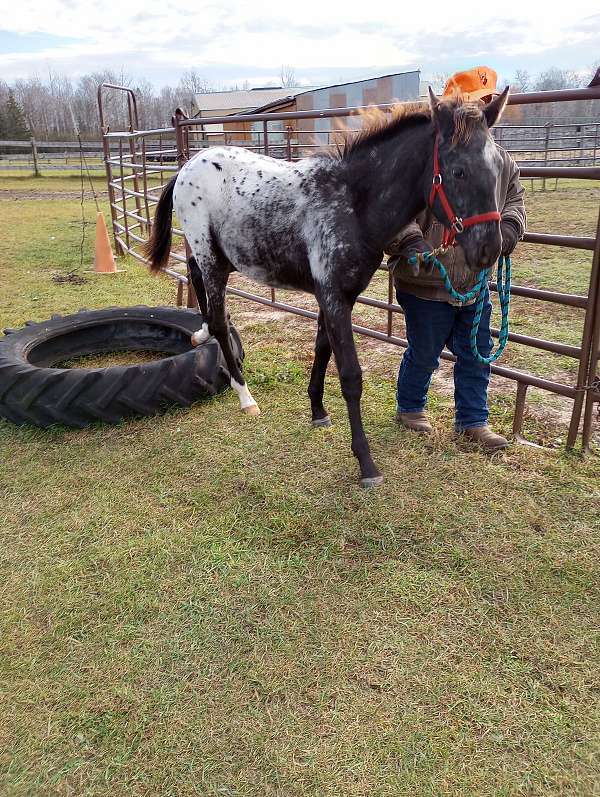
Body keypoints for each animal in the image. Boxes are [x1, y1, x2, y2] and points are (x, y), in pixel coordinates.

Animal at [144, 88, 509, 488]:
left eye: (498, 169)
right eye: (458, 171)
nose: (490, 249)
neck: (351, 203)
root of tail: (185, 166)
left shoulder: (335, 296)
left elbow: (321, 349)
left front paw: (317, 410)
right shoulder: (334, 298)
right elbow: (350, 375)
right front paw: (366, 464)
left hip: (212, 256)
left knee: (200, 290)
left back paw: (200, 335)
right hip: (210, 257)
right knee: (221, 320)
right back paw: (246, 397)